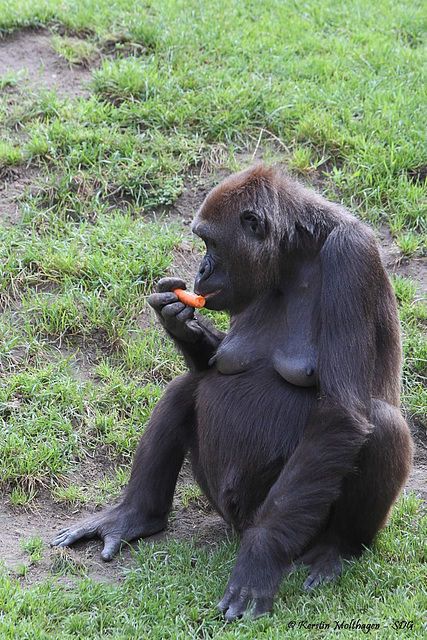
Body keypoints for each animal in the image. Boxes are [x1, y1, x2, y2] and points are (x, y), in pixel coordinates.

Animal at [51, 164, 414, 620]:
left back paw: (338, 550)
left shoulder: (351, 256)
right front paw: (178, 322)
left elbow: (341, 413)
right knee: (186, 386)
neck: (296, 252)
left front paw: (260, 559)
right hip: (224, 509)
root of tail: (237, 526)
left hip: (298, 532)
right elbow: (211, 364)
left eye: (211, 242)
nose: (201, 270)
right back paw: (134, 514)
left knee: (381, 424)